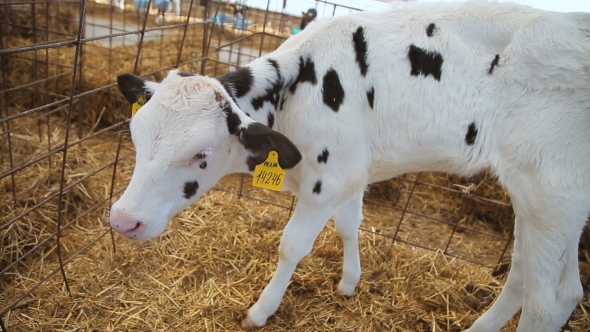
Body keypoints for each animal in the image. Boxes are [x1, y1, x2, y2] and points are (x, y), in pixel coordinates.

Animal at [110, 1, 590, 330]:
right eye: (135, 137)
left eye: (201, 156)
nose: (123, 220)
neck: (296, 89)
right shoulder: (351, 171)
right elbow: (348, 225)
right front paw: (348, 283)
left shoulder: (330, 176)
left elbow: (292, 246)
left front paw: (261, 311)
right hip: (538, 198)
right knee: (527, 276)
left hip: (553, 193)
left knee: (551, 299)